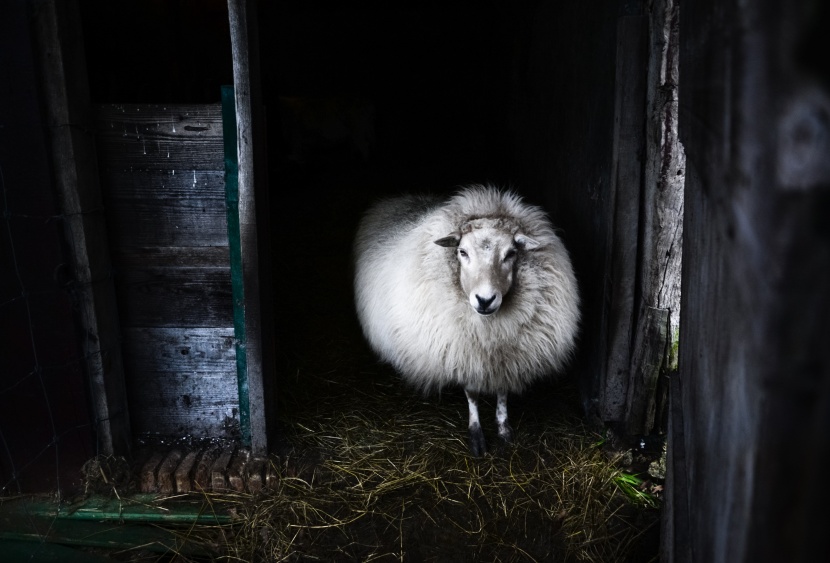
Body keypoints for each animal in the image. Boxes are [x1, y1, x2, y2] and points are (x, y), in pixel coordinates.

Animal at [354, 185, 580, 454]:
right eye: (462, 252)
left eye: (511, 254)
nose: (485, 300)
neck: (490, 329)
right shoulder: (465, 353)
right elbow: (472, 394)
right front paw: (476, 434)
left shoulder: (507, 357)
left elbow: (502, 392)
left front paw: (503, 429)